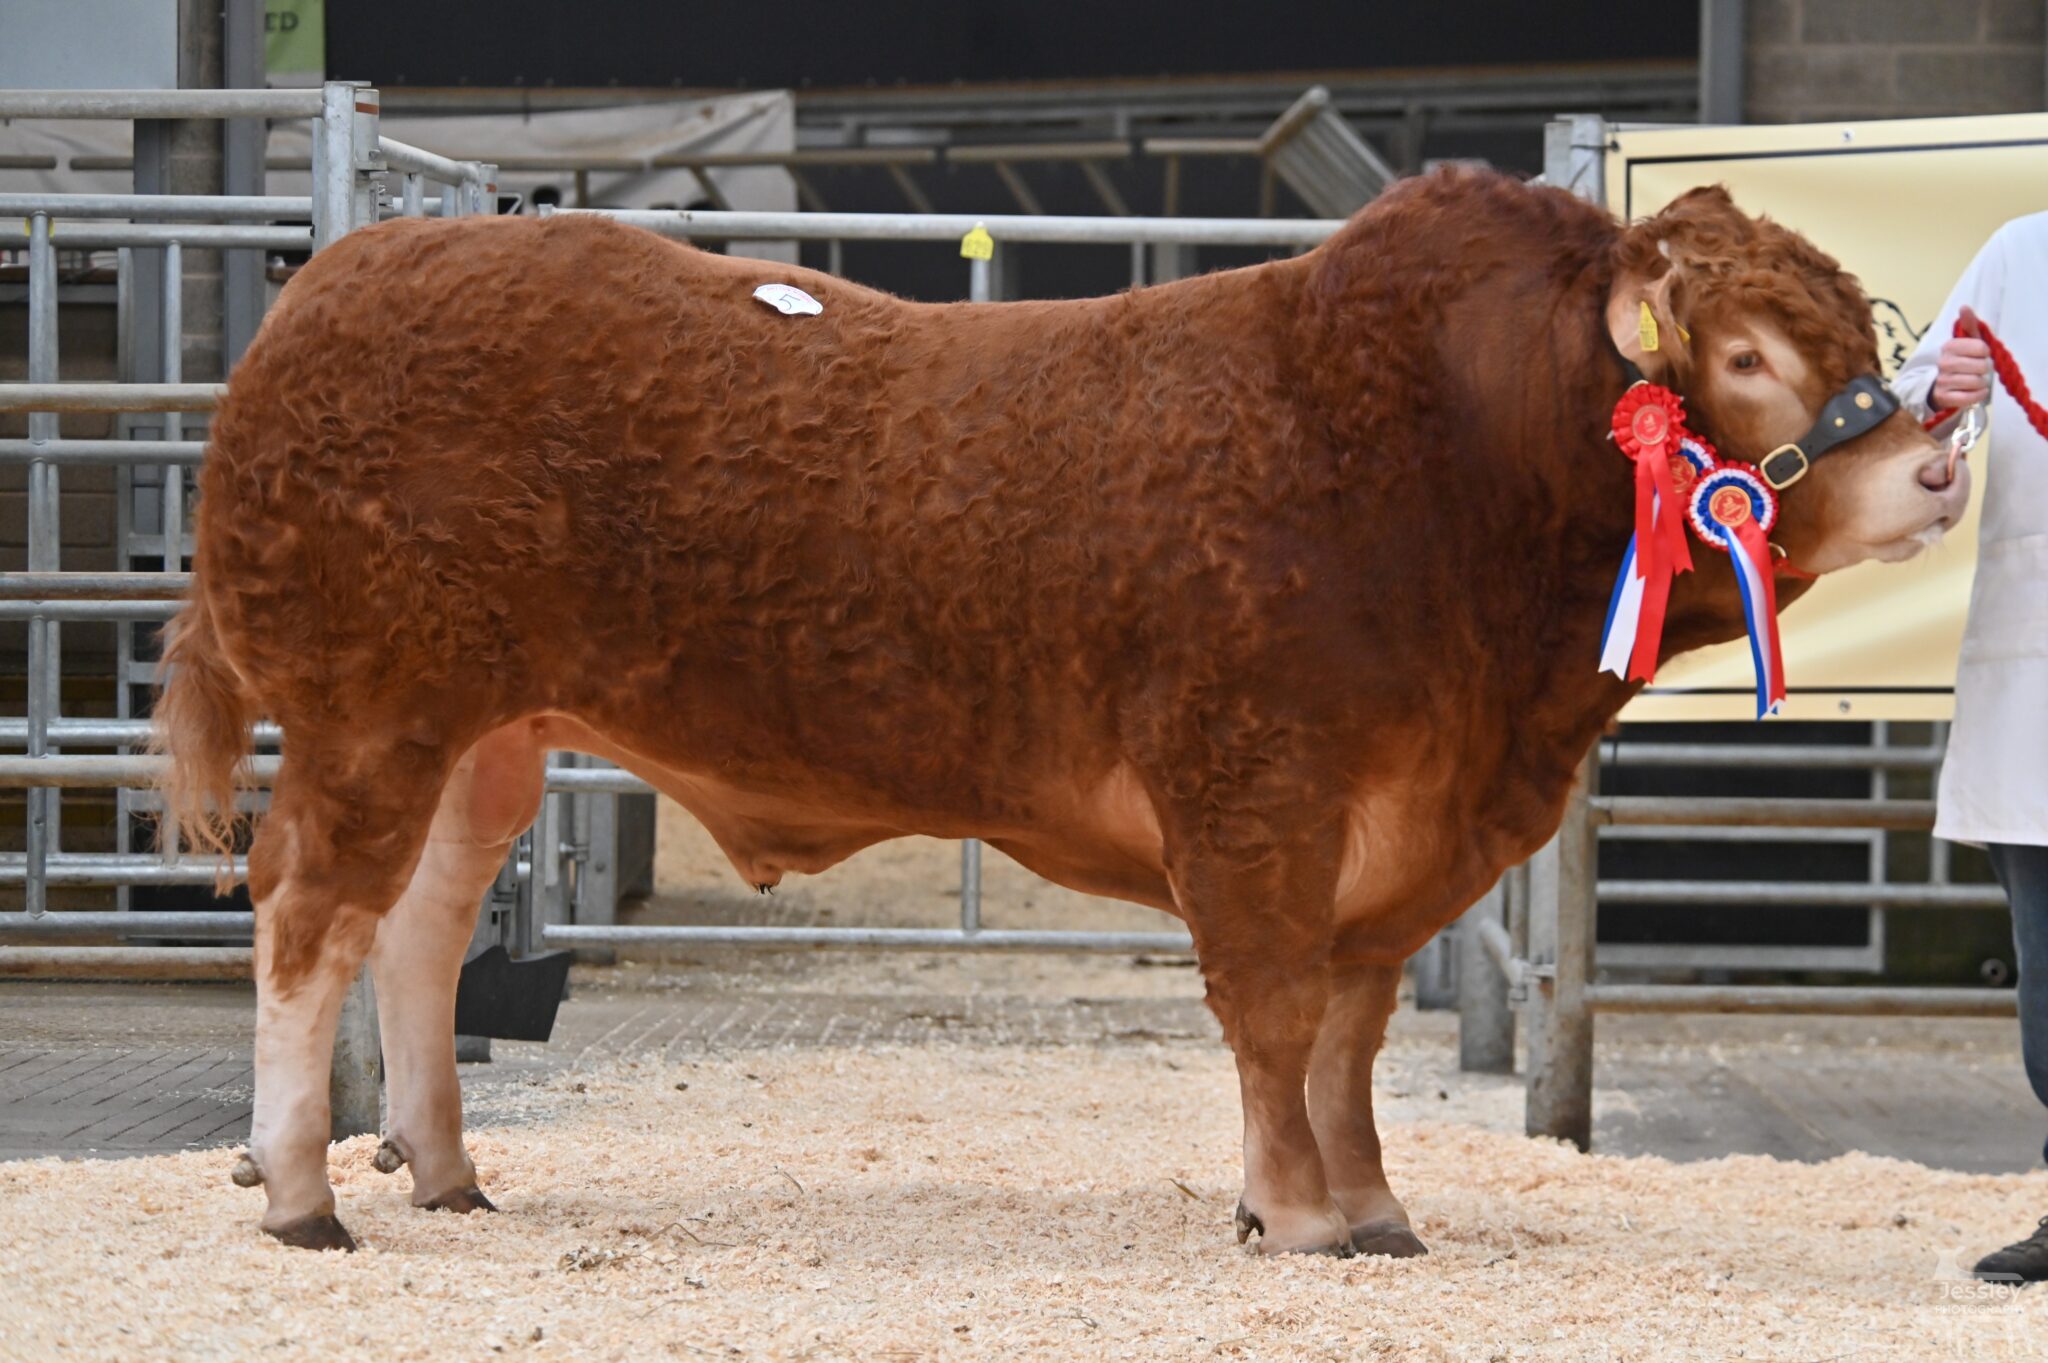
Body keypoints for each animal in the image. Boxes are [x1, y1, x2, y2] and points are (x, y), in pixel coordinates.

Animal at [155, 169, 1966, 1252]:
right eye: (1746, 353)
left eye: (1849, 319)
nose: (1940, 467)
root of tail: (353, 268)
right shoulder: (1255, 785)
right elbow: (1273, 1011)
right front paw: (1295, 1216)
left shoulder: (1396, 830)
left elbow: (1349, 1025)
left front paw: (1370, 1204)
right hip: (371, 709)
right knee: (309, 914)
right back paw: (304, 1192)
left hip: (489, 731)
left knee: (419, 924)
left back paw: (445, 1168)